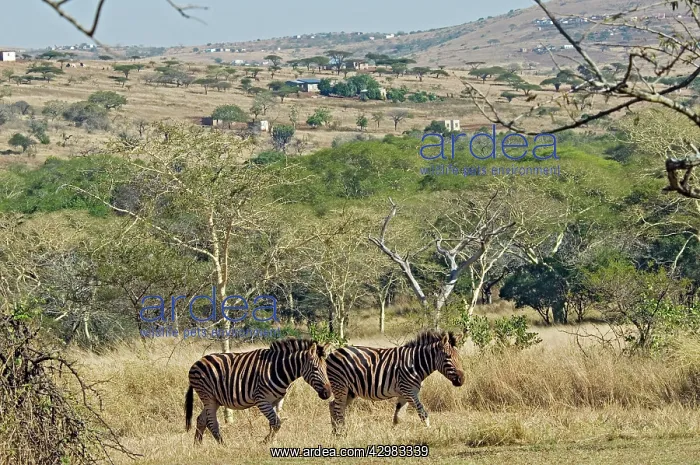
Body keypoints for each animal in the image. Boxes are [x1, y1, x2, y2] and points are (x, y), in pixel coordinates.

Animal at [185, 337, 332, 444]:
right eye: (315, 369)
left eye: (326, 368)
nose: (328, 393)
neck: (278, 369)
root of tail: (197, 362)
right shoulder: (261, 400)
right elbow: (277, 423)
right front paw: (265, 441)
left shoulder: (278, 401)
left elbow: (273, 423)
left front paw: (273, 442)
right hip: (208, 396)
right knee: (211, 423)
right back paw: (223, 446)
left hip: (214, 400)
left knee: (201, 420)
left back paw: (197, 445)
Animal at [326, 330, 464, 434]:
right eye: (448, 357)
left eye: (459, 357)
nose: (462, 380)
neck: (415, 364)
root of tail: (333, 352)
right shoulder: (409, 391)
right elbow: (422, 412)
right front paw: (430, 431)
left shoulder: (405, 393)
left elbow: (398, 417)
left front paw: (393, 434)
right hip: (340, 385)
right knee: (338, 408)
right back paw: (342, 433)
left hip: (350, 390)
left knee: (333, 405)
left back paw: (336, 432)